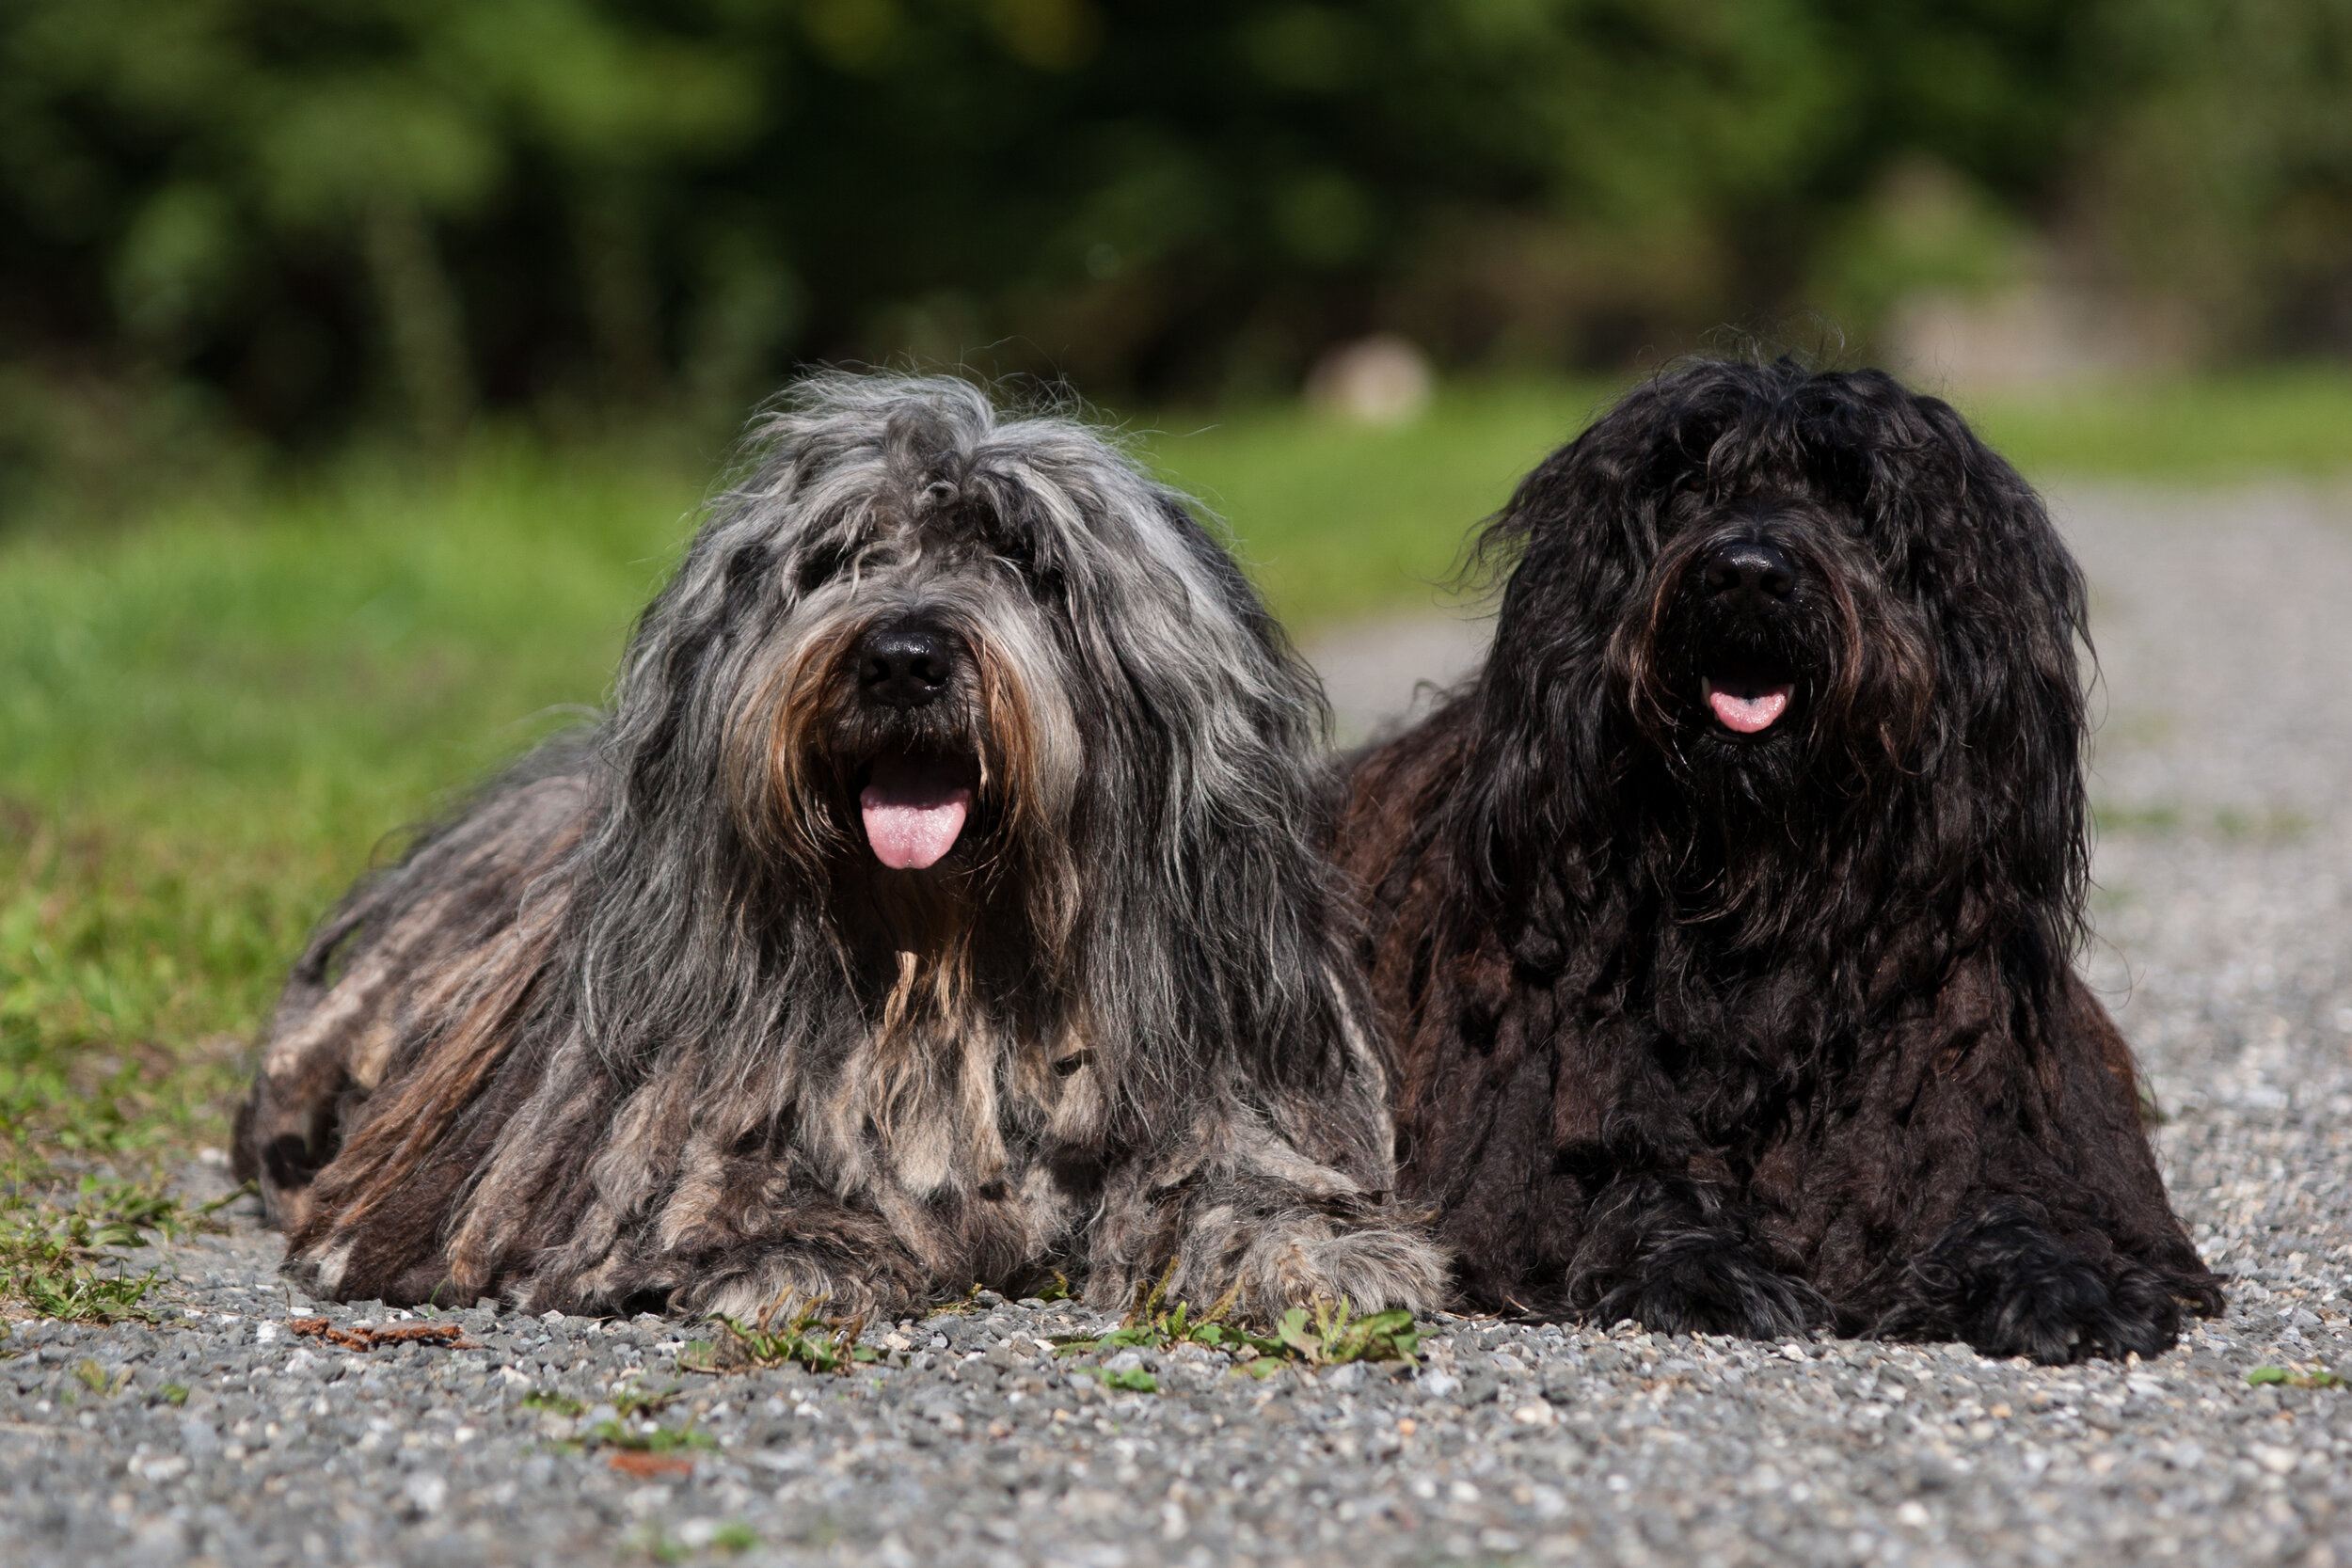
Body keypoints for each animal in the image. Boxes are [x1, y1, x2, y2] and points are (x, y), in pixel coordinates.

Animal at [243, 375, 1449, 1325]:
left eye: (1027, 557)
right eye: (833, 559)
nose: (904, 656)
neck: (948, 960)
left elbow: (1227, 1177)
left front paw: (1321, 1251)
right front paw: (787, 1246)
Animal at [1345, 355, 2220, 1363]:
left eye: (1857, 498)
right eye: (1685, 482)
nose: (1749, 574)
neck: (1762, 871)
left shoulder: (1976, 1086)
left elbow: (2010, 1194)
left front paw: (2060, 1282)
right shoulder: (1532, 1120)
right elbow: (1626, 1180)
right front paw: (1705, 1269)